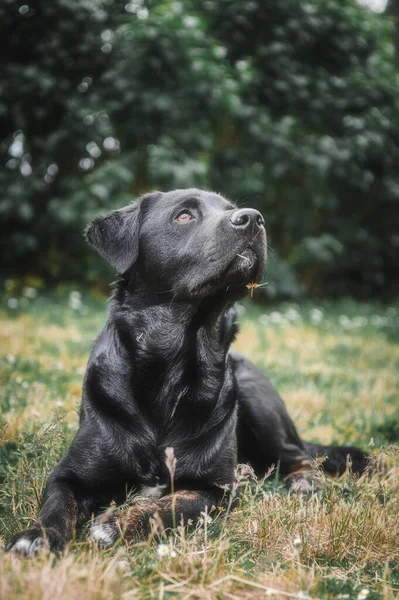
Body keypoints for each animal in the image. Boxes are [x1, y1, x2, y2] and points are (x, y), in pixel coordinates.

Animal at [5, 190, 368, 556]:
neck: (173, 368)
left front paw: (116, 525)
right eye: (184, 216)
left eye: (232, 209)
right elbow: (56, 503)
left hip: (258, 402)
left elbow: (166, 506)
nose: (253, 218)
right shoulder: (69, 474)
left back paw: (302, 481)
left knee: (299, 456)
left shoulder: (215, 489)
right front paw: (36, 536)